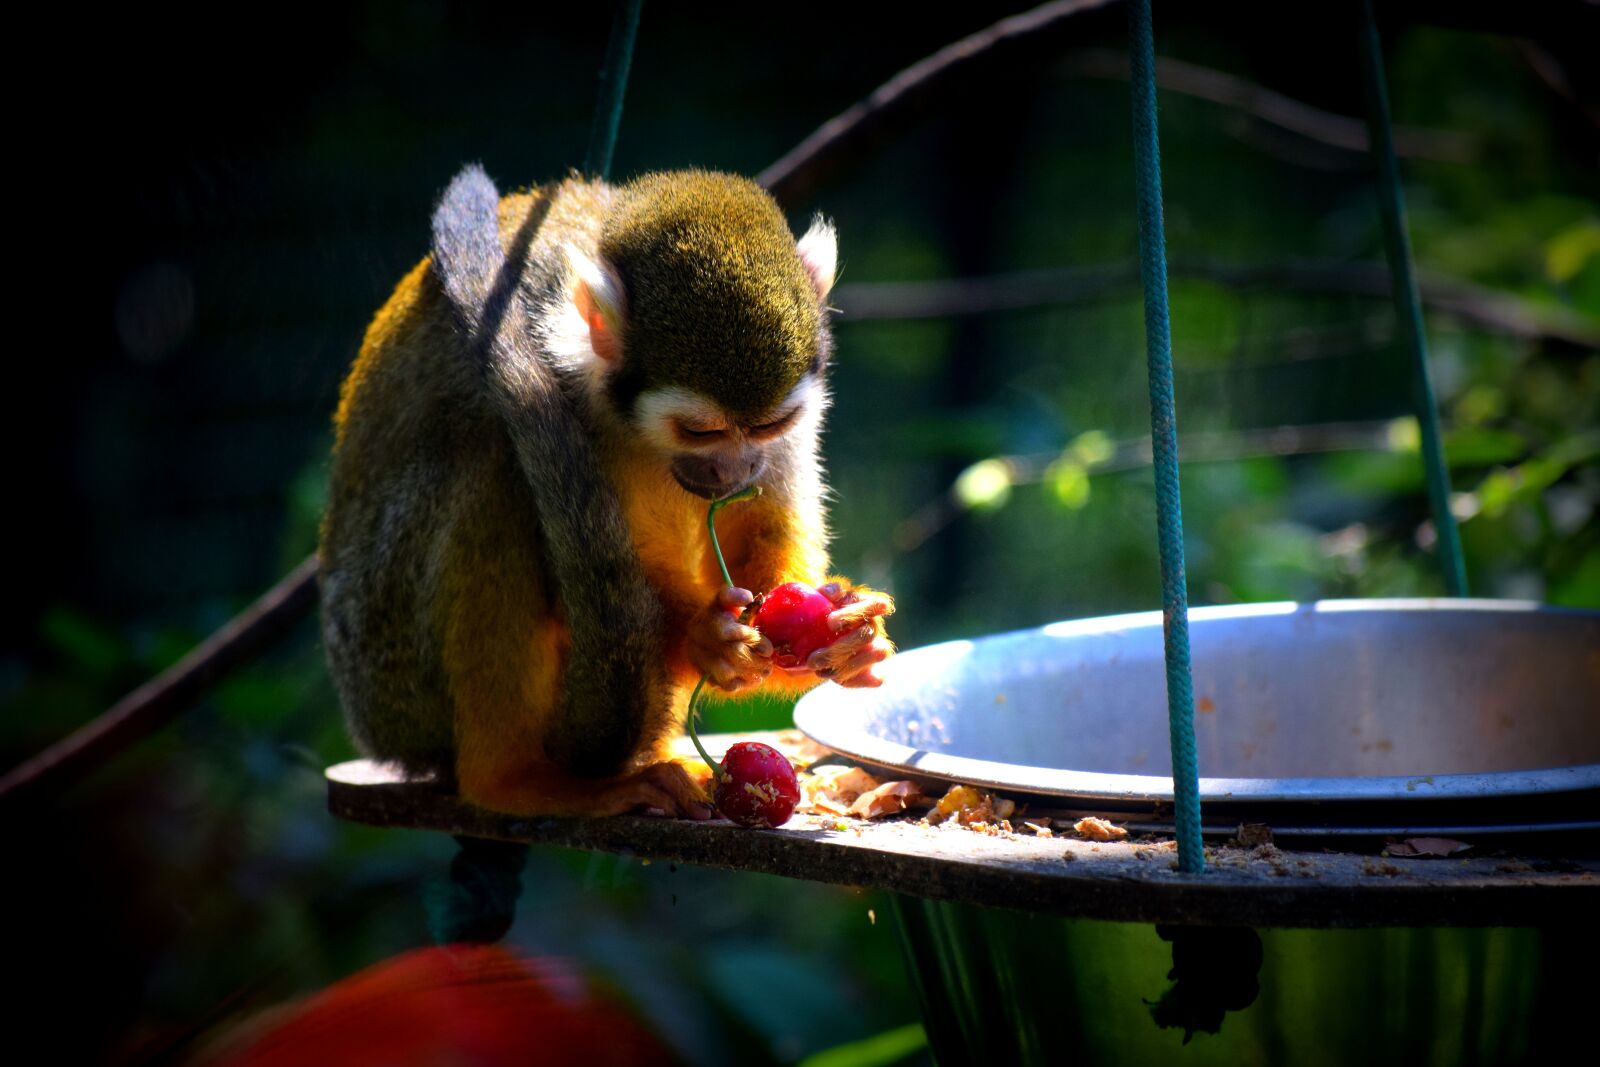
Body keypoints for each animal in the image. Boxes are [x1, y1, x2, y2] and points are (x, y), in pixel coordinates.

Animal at [318, 166, 894, 819]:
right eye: (700, 431)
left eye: (770, 425)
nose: (736, 471)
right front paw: (706, 638)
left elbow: (766, 538)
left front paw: (843, 634)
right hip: (389, 671)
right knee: (492, 469)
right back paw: (516, 780)